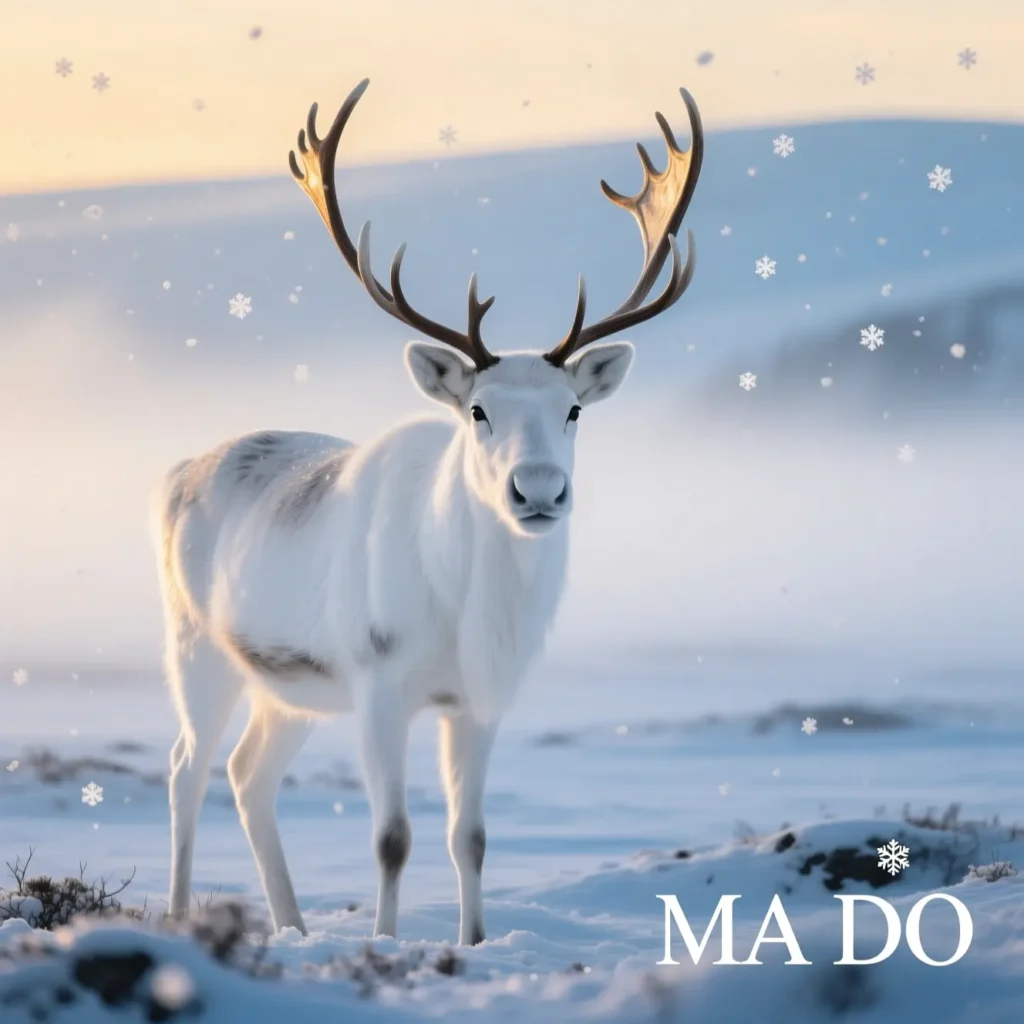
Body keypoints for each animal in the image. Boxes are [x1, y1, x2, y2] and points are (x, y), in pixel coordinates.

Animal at [152, 77, 703, 946]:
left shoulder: (480, 699)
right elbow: (391, 837)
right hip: (197, 645)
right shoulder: (378, 680)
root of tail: (175, 474)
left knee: (247, 773)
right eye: (478, 410)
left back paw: (293, 926)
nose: (538, 491)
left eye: (574, 409)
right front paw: (385, 941)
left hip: (290, 682)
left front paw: (473, 942)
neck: (463, 614)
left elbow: (468, 836)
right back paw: (181, 914)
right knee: (186, 767)